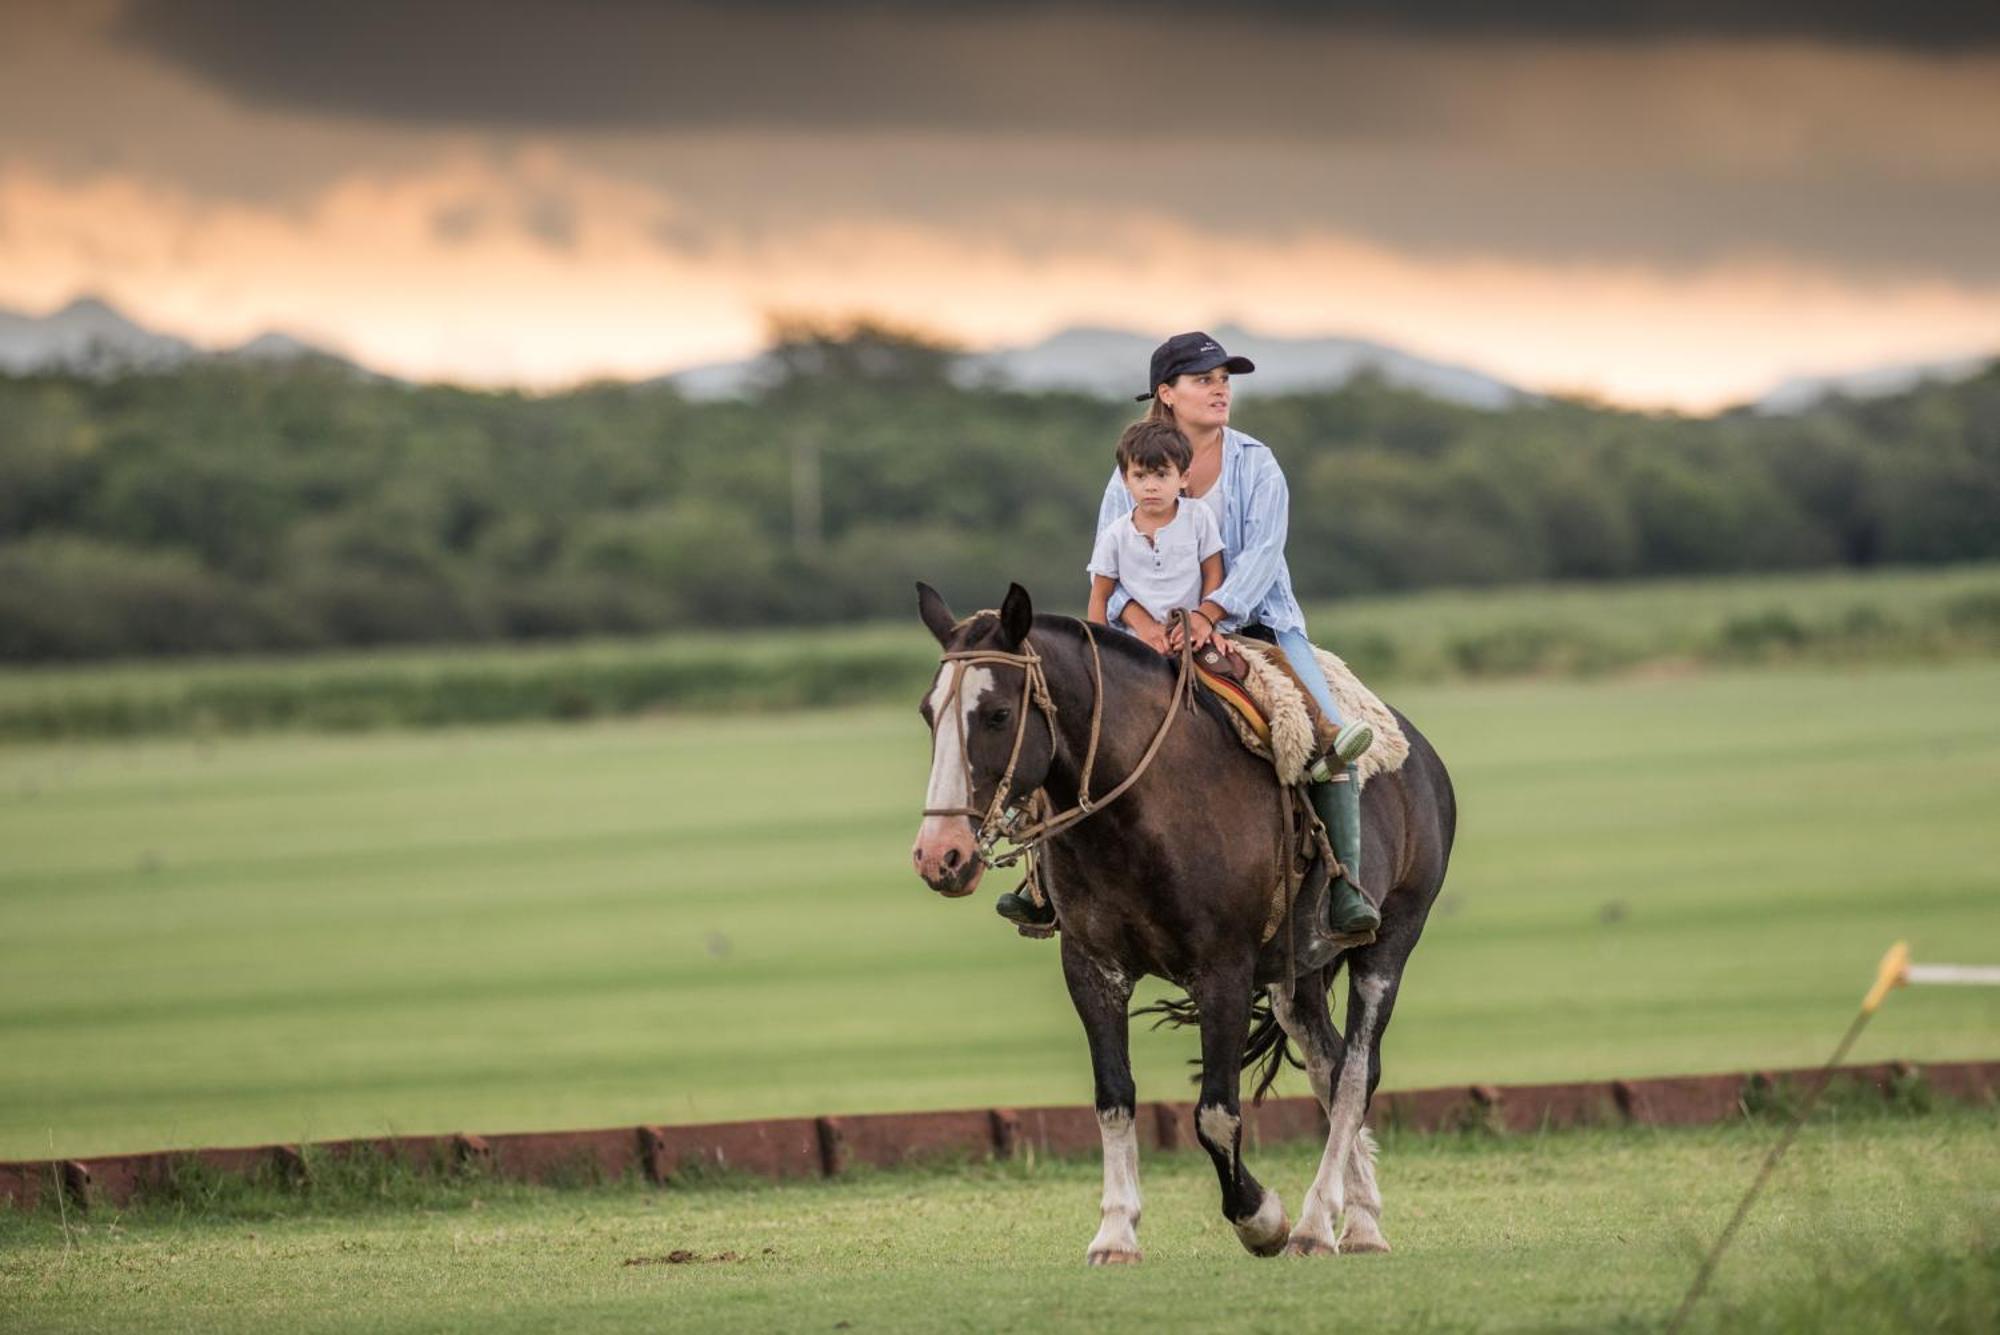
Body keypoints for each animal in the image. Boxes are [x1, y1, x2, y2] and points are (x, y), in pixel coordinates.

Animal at [916, 583, 1464, 1263]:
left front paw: (1261, 1219)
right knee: (1329, 1066)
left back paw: (1315, 1225)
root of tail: (1423, 759)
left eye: (994, 714)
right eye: (927, 712)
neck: (1142, 807)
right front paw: (1115, 1232)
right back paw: (1359, 1221)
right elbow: (1114, 1098)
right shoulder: (1091, 967)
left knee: (1357, 1072)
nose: (940, 855)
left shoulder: (1222, 971)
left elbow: (1216, 1113)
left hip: (1388, 944)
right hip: (1296, 976)